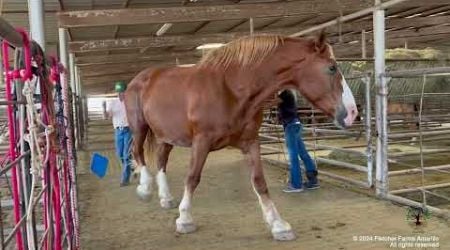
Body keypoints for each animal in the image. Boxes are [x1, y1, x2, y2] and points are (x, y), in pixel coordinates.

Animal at [125, 34, 356, 241]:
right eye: (332, 68)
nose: (353, 113)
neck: (231, 88)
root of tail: (140, 78)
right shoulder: (201, 142)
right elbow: (192, 178)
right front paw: (184, 219)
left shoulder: (251, 142)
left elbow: (259, 181)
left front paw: (278, 225)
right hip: (140, 127)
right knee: (137, 152)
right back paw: (145, 189)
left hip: (166, 136)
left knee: (161, 160)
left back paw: (165, 198)